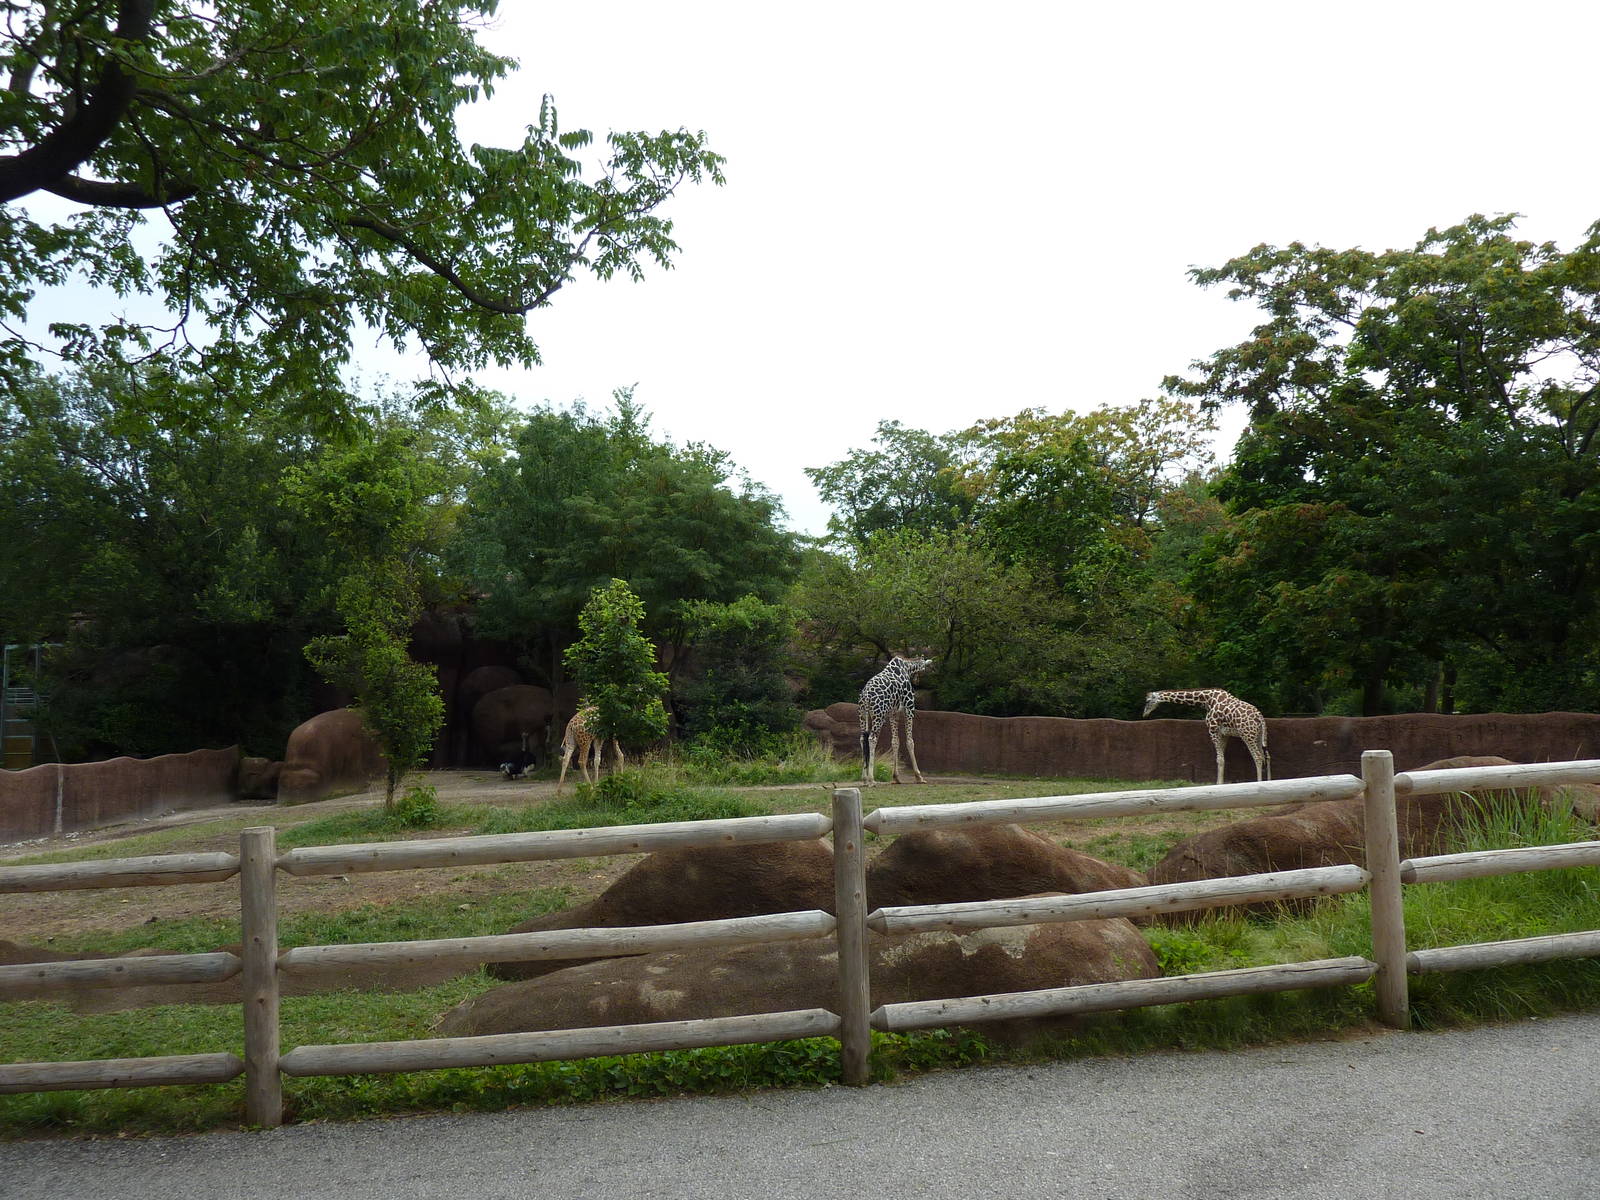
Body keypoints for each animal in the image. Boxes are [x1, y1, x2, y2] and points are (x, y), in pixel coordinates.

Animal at [859, 655, 934, 785]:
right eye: (924, 668)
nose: (917, 681)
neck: (907, 668)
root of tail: (866, 697)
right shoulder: (909, 708)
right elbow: (910, 741)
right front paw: (919, 777)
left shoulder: (893, 713)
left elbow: (895, 741)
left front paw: (896, 777)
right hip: (879, 715)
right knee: (872, 739)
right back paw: (871, 780)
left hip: (863, 715)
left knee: (862, 739)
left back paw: (864, 779)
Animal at [1142, 688, 1271, 786]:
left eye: (1148, 701)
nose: (1144, 714)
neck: (1206, 700)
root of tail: (1260, 718)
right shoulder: (1224, 733)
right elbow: (1222, 758)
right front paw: (1220, 783)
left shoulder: (1213, 730)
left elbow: (1219, 759)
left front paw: (1218, 784)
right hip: (1259, 735)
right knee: (1266, 756)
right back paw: (1269, 781)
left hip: (1247, 734)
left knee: (1258, 757)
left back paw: (1259, 782)